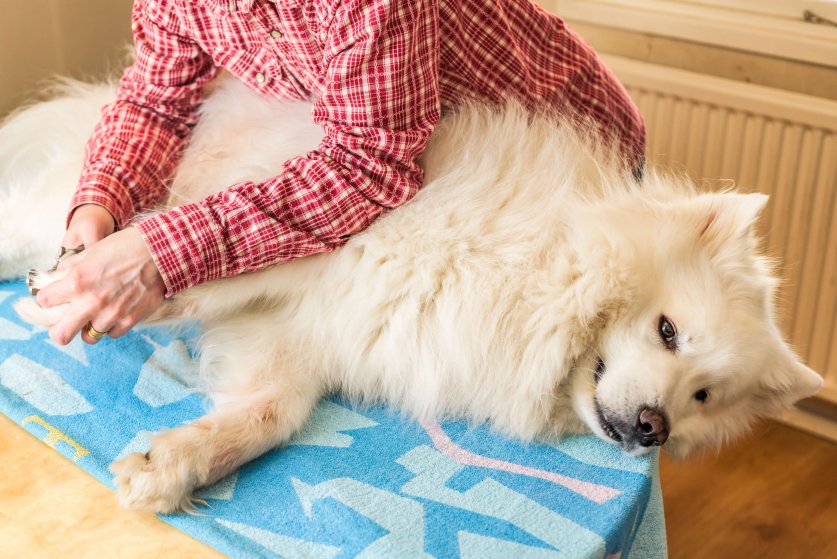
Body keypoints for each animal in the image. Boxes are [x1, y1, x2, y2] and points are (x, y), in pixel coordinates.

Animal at [1, 76, 824, 516]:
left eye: (703, 397)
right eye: (666, 330)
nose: (654, 428)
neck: (536, 278)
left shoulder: (303, 341)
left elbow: (269, 416)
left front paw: (168, 464)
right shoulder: (326, 250)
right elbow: (198, 276)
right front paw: (78, 297)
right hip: (48, 206)